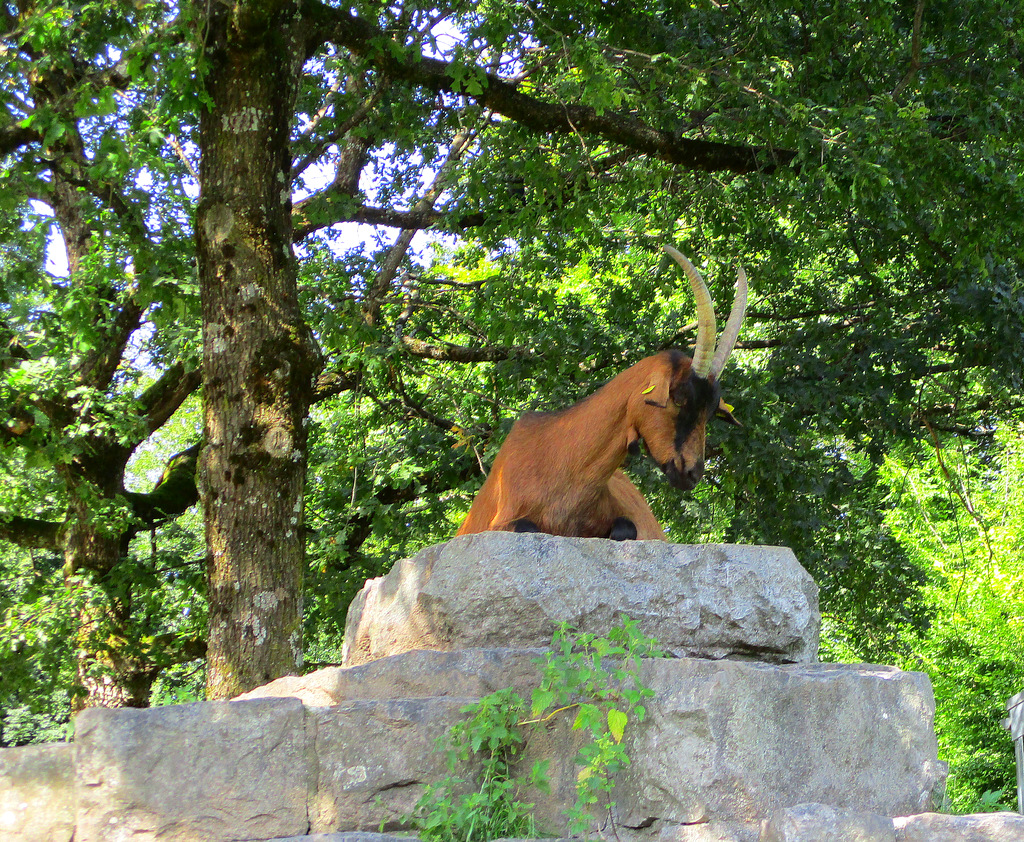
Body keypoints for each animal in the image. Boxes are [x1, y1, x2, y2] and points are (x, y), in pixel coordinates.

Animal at [456, 246, 745, 544]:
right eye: (678, 398)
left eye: (710, 412)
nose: (692, 473)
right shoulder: (500, 521)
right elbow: (527, 526)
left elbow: (624, 528)